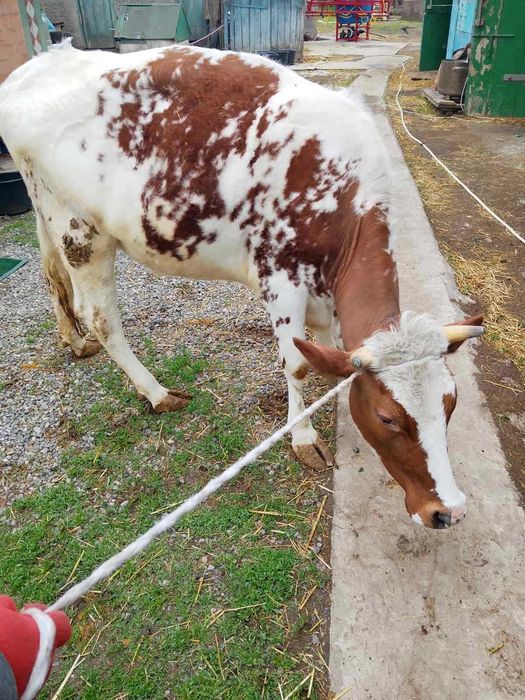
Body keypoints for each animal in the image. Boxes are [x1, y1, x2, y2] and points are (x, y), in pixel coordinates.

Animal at [0, 42, 483, 529]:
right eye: (387, 418)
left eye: (451, 402)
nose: (449, 510)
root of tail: (36, 66)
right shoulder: (281, 277)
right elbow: (297, 365)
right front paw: (303, 436)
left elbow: (328, 344)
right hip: (81, 231)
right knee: (101, 318)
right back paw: (156, 393)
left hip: (48, 215)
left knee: (52, 277)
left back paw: (75, 342)